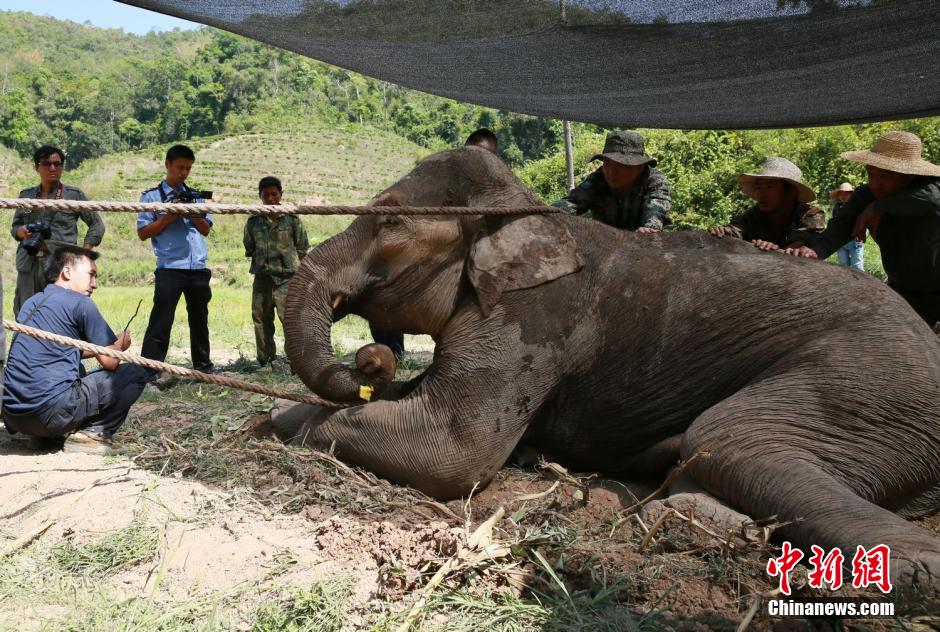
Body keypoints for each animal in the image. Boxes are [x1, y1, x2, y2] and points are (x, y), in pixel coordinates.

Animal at [284, 146, 940, 584]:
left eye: (390, 221)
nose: (370, 361)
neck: (524, 212)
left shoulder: (536, 316)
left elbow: (452, 451)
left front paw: (290, 428)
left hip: (870, 383)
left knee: (730, 437)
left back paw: (916, 570)